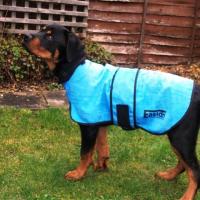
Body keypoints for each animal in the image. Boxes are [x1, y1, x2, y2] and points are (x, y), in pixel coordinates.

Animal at [22, 23, 200, 200]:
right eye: (42, 30)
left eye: (50, 35)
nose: (24, 36)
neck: (75, 68)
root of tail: (197, 89)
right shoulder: (99, 121)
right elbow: (102, 147)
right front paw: (100, 166)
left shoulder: (88, 125)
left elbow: (85, 152)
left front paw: (79, 173)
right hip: (177, 135)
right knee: (184, 164)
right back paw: (168, 175)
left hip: (181, 136)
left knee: (194, 169)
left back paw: (186, 196)